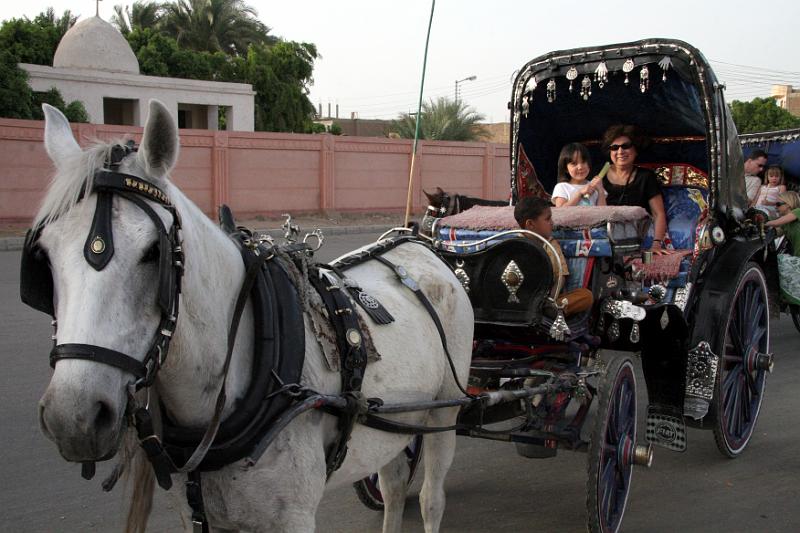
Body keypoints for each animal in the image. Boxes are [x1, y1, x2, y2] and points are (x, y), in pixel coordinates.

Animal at [30, 100, 474, 532]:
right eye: (45, 255)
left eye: (154, 252)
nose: (74, 417)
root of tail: (419, 244)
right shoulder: (199, 516)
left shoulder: (293, 518)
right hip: (398, 424)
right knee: (395, 487)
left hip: (443, 411)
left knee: (430, 499)